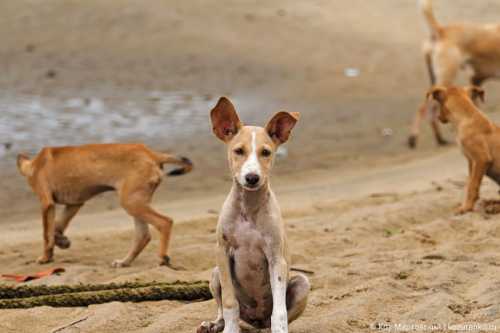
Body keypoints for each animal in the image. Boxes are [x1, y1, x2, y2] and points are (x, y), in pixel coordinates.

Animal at [16, 143, 192, 268]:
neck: (34, 164)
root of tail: (152, 154)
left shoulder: (47, 204)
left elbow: (46, 234)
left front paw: (45, 257)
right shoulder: (74, 204)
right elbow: (56, 227)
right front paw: (61, 241)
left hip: (131, 202)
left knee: (164, 222)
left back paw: (163, 258)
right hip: (136, 202)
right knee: (143, 236)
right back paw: (124, 262)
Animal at [198, 97, 308, 332]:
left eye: (266, 152)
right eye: (238, 151)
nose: (252, 178)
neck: (248, 208)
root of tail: (255, 321)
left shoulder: (276, 258)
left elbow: (280, 312)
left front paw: (280, 329)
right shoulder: (223, 252)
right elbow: (230, 303)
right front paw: (230, 330)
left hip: (302, 282)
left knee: (275, 317)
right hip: (215, 274)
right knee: (222, 309)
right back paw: (214, 324)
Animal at [408, 0, 500, 148]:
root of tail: (441, 31)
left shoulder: (477, 78)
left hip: (436, 79)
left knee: (430, 111)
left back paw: (440, 139)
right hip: (446, 77)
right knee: (423, 108)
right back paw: (413, 137)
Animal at [426, 85, 500, 213]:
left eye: (438, 104)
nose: (438, 117)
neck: (467, 117)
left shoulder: (481, 159)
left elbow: (473, 186)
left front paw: (466, 207)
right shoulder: (471, 162)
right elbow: (470, 183)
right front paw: (467, 204)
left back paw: (494, 207)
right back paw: (491, 203)